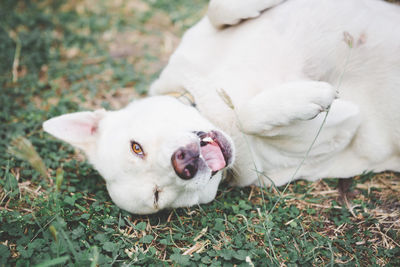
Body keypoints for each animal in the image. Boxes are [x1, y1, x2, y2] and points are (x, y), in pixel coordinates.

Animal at [42, 0, 398, 215]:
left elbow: (219, 9)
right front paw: (313, 96)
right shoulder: (335, 133)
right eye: (158, 196)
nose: (183, 163)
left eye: (136, 147)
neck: (213, 110)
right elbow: (249, 115)